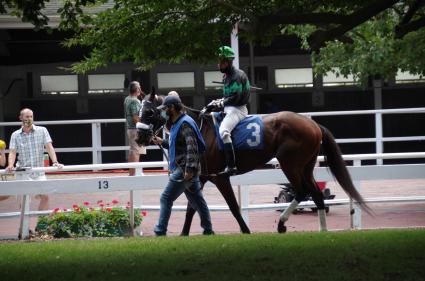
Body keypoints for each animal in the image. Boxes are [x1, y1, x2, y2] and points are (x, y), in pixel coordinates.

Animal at [137, 93, 370, 233]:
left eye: (149, 111)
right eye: (139, 109)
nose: (140, 137)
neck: (200, 129)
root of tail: (312, 123)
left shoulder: (220, 178)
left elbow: (232, 206)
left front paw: (246, 231)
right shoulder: (201, 177)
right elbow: (192, 208)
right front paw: (184, 234)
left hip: (290, 165)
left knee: (302, 191)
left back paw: (282, 224)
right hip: (306, 166)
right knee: (316, 193)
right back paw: (322, 230)